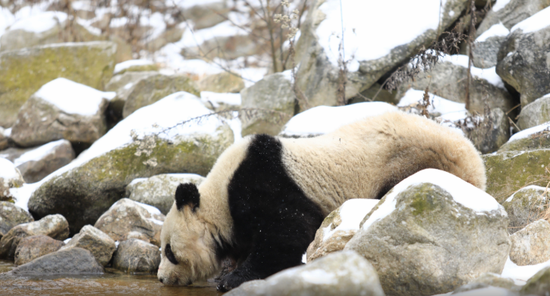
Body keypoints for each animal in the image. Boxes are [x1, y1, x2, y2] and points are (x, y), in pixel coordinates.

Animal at [156, 111, 488, 292]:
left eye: (169, 251)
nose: (161, 278)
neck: (218, 197)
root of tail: (475, 164)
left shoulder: (266, 185)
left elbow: (286, 236)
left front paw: (233, 279)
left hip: (411, 159)